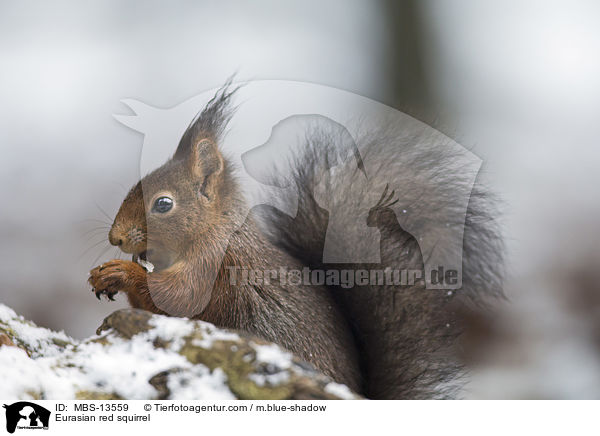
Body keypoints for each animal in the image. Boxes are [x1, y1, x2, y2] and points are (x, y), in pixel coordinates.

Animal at [88, 81, 502, 398]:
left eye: (163, 204)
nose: (116, 237)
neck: (215, 233)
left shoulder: (214, 266)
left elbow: (177, 299)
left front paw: (120, 272)